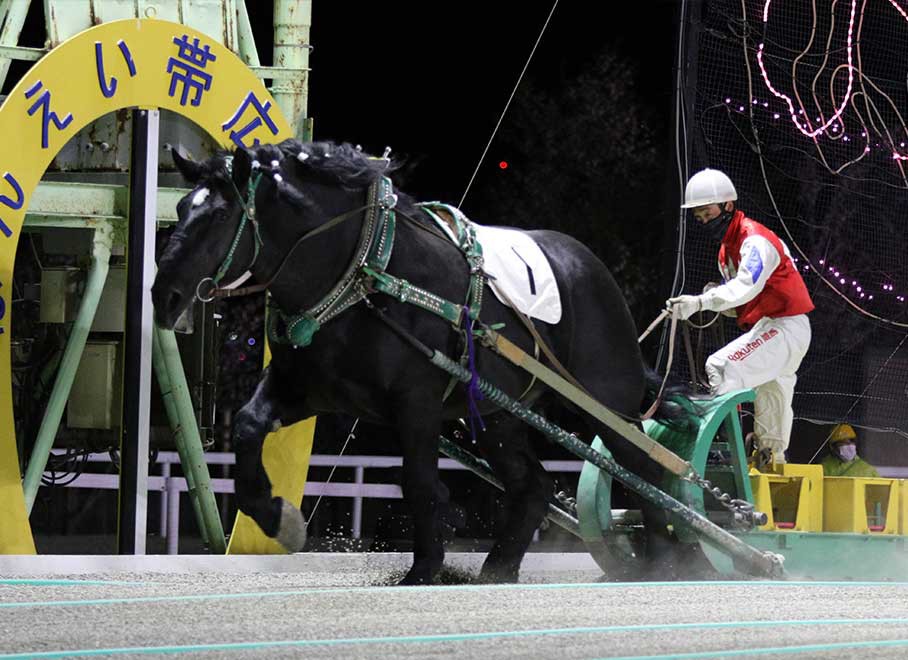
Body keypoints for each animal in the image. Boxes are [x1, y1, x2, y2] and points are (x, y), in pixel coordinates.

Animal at [154, 139, 680, 584]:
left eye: (221, 215)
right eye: (180, 208)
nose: (165, 296)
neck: (362, 274)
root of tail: (591, 268)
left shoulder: (417, 402)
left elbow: (420, 483)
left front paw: (425, 566)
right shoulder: (306, 387)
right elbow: (247, 426)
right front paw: (276, 517)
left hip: (607, 401)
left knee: (647, 473)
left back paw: (667, 559)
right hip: (499, 416)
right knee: (534, 485)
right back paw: (500, 566)